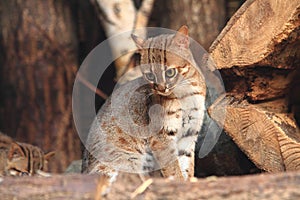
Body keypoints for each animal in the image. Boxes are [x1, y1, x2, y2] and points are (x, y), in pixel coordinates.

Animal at [82, 25, 206, 181]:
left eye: (170, 72)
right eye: (150, 76)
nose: (161, 88)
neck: (186, 94)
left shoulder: (189, 134)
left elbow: (186, 167)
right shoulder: (161, 137)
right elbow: (173, 169)